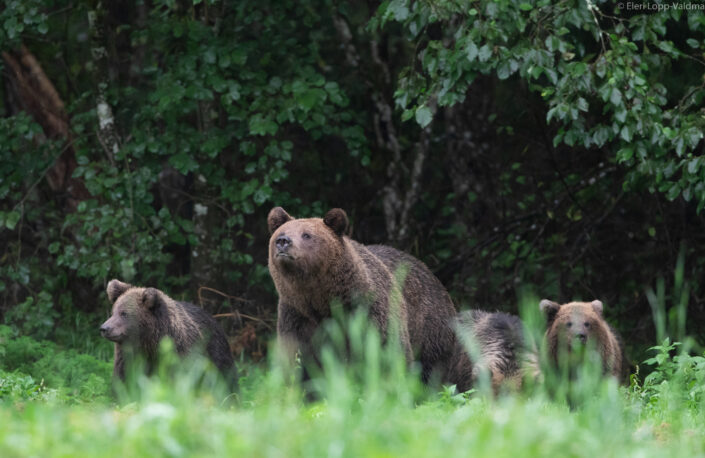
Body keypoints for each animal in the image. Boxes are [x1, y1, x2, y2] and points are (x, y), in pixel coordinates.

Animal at [266, 208, 470, 390]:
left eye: (307, 235)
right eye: (281, 233)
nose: (283, 242)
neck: (322, 299)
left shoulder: (368, 308)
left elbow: (386, 351)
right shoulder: (297, 315)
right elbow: (301, 361)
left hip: (429, 326)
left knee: (433, 367)